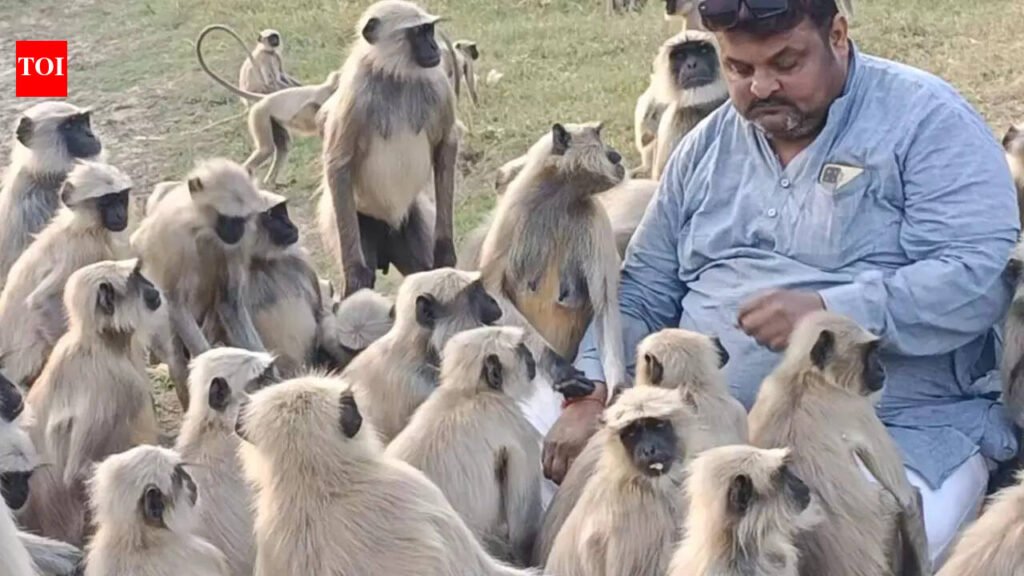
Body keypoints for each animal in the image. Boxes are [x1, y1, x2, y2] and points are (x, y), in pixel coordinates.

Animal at [0, 160, 131, 389]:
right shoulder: (84, 250)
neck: (80, 227)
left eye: (121, 198)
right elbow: (41, 301)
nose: (120, 214)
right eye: (107, 201)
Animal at [131, 159, 274, 407]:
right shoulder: (177, 239)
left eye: (241, 219)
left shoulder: (238, 244)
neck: (203, 230)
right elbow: (174, 302)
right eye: (226, 219)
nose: (235, 230)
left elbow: (230, 303)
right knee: (177, 358)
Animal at [319, 0, 459, 297]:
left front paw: (445, 249)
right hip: (353, 219)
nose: (434, 48)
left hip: (410, 220)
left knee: (423, 269)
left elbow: (446, 143)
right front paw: (355, 272)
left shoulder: (438, 84)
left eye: (429, 30)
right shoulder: (355, 93)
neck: (396, 76)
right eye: (418, 33)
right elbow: (339, 163)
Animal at [478, 121, 628, 397]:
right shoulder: (513, 211)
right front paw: (560, 370)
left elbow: (604, 303)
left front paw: (619, 392)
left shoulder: (593, 214)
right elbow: (491, 290)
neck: (559, 197)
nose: (616, 154)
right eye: (598, 136)